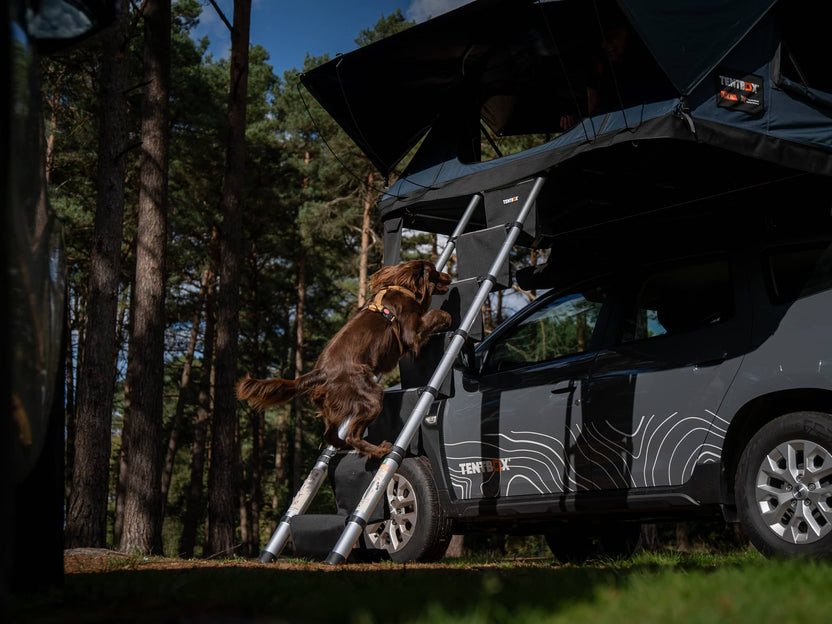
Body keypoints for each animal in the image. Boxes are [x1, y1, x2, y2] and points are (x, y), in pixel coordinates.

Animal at [234, 258, 456, 458]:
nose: (449, 275)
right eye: (435, 270)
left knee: (330, 436)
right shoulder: (411, 332)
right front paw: (447, 318)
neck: (403, 288)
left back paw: (346, 447)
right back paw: (379, 450)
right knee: (352, 436)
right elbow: (436, 314)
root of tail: (321, 373)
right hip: (371, 396)